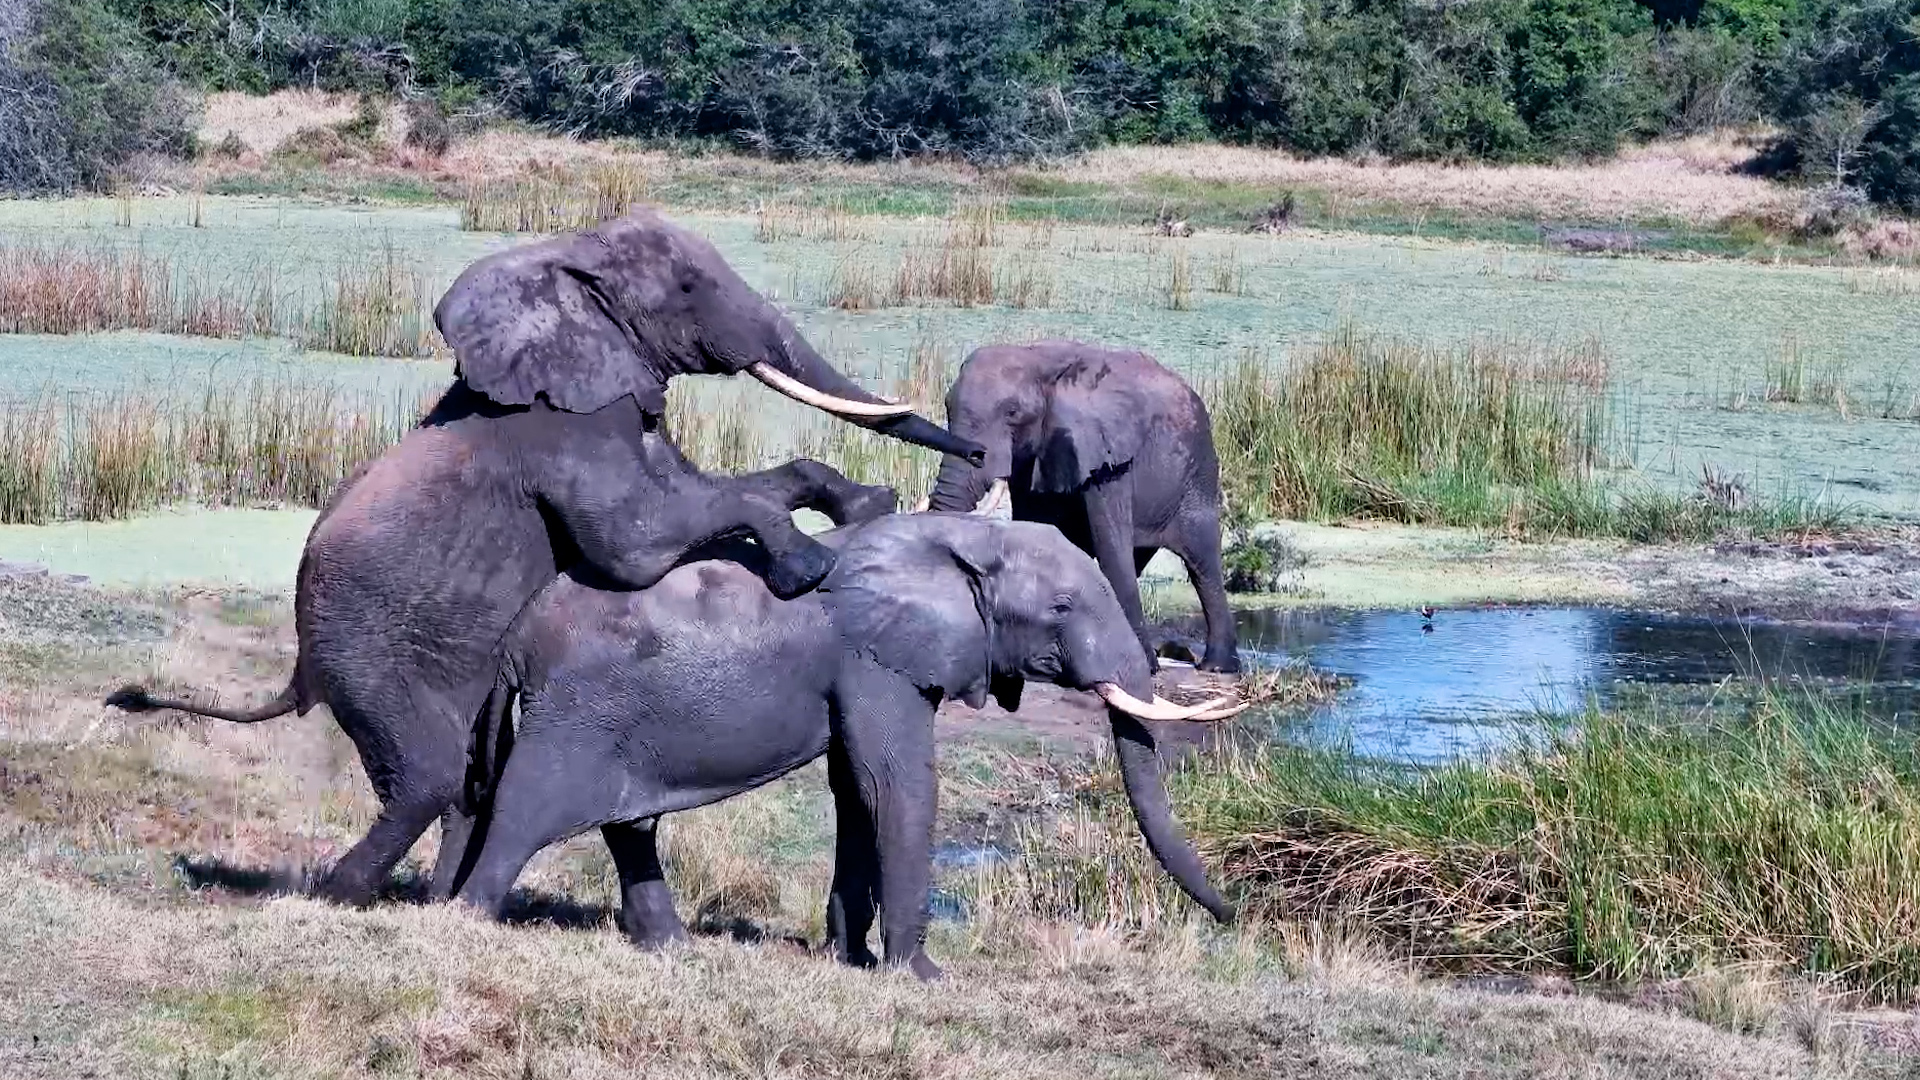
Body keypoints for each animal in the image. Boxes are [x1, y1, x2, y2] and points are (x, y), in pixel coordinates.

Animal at [105, 209, 982, 908]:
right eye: (688, 286)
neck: (562, 263)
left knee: (468, 783)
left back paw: (432, 900)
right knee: (427, 779)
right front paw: (808, 566)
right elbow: (641, 542)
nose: (978, 449)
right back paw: (340, 897)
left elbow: (712, 491)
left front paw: (861, 503)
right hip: (369, 662)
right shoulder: (564, 432)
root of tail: (297, 669)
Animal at [452, 513, 1245, 980]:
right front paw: (922, 978)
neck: (960, 538)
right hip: (577, 712)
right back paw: (466, 920)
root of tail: (515, 639)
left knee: (628, 824)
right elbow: (895, 782)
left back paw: (672, 948)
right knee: (524, 809)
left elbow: (855, 791)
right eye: (1061, 607)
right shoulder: (874, 661)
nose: (1234, 915)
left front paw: (850, 958)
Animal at [924, 341, 1240, 673]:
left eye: (1012, 413)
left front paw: (1142, 666)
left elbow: (1110, 541)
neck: (1040, 361)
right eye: (947, 406)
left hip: (1197, 470)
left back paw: (1217, 667)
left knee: (1201, 561)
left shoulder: (1108, 456)